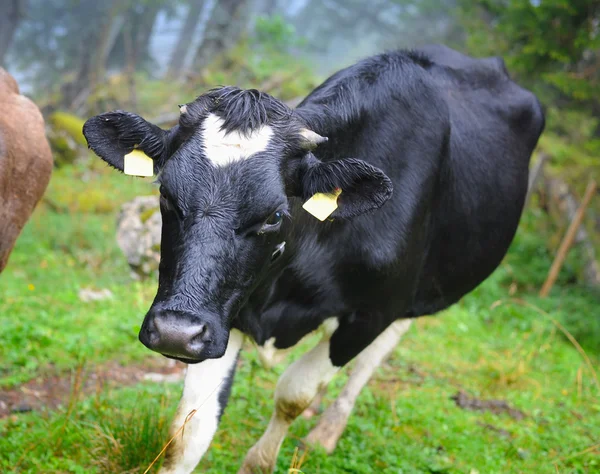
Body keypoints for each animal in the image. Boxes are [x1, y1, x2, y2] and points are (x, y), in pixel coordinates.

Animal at [82, 45, 548, 474]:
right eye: (165, 194)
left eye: (274, 215)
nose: (175, 333)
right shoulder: (223, 314)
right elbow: (189, 431)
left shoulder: (371, 313)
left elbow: (294, 394)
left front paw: (264, 457)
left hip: (419, 294)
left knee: (376, 356)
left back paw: (326, 432)